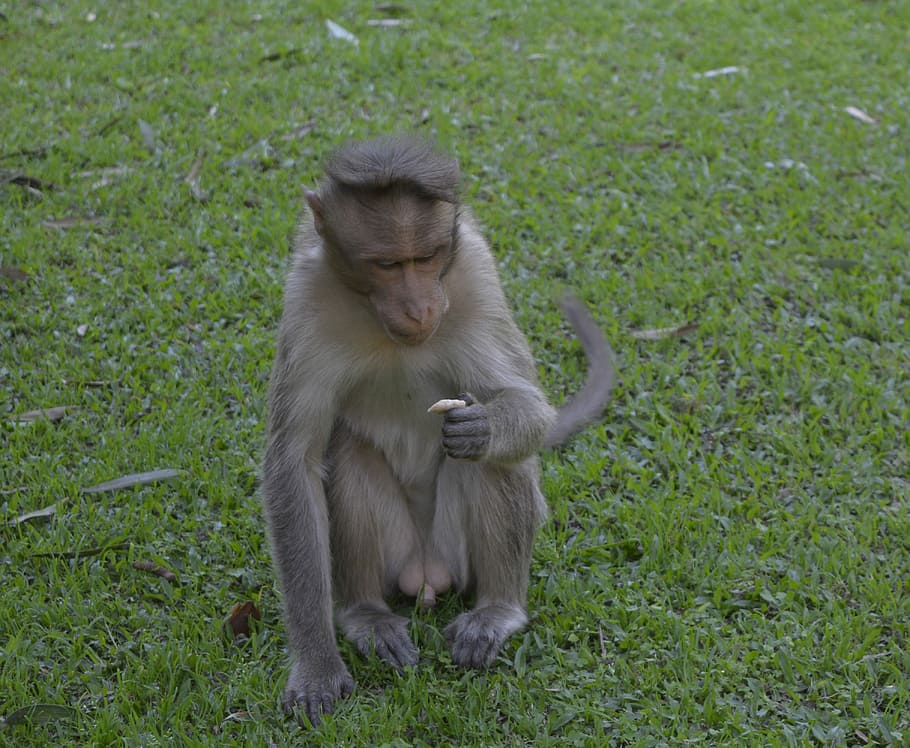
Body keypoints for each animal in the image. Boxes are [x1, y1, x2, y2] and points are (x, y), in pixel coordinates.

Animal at [261, 136, 615, 726]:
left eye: (425, 258)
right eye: (387, 263)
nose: (420, 306)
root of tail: (427, 574)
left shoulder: (476, 273)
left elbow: (524, 404)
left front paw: (485, 427)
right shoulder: (306, 297)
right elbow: (294, 461)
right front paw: (316, 663)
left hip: (456, 553)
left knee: (497, 463)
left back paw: (497, 609)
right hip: (399, 554)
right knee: (348, 450)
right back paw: (366, 615)